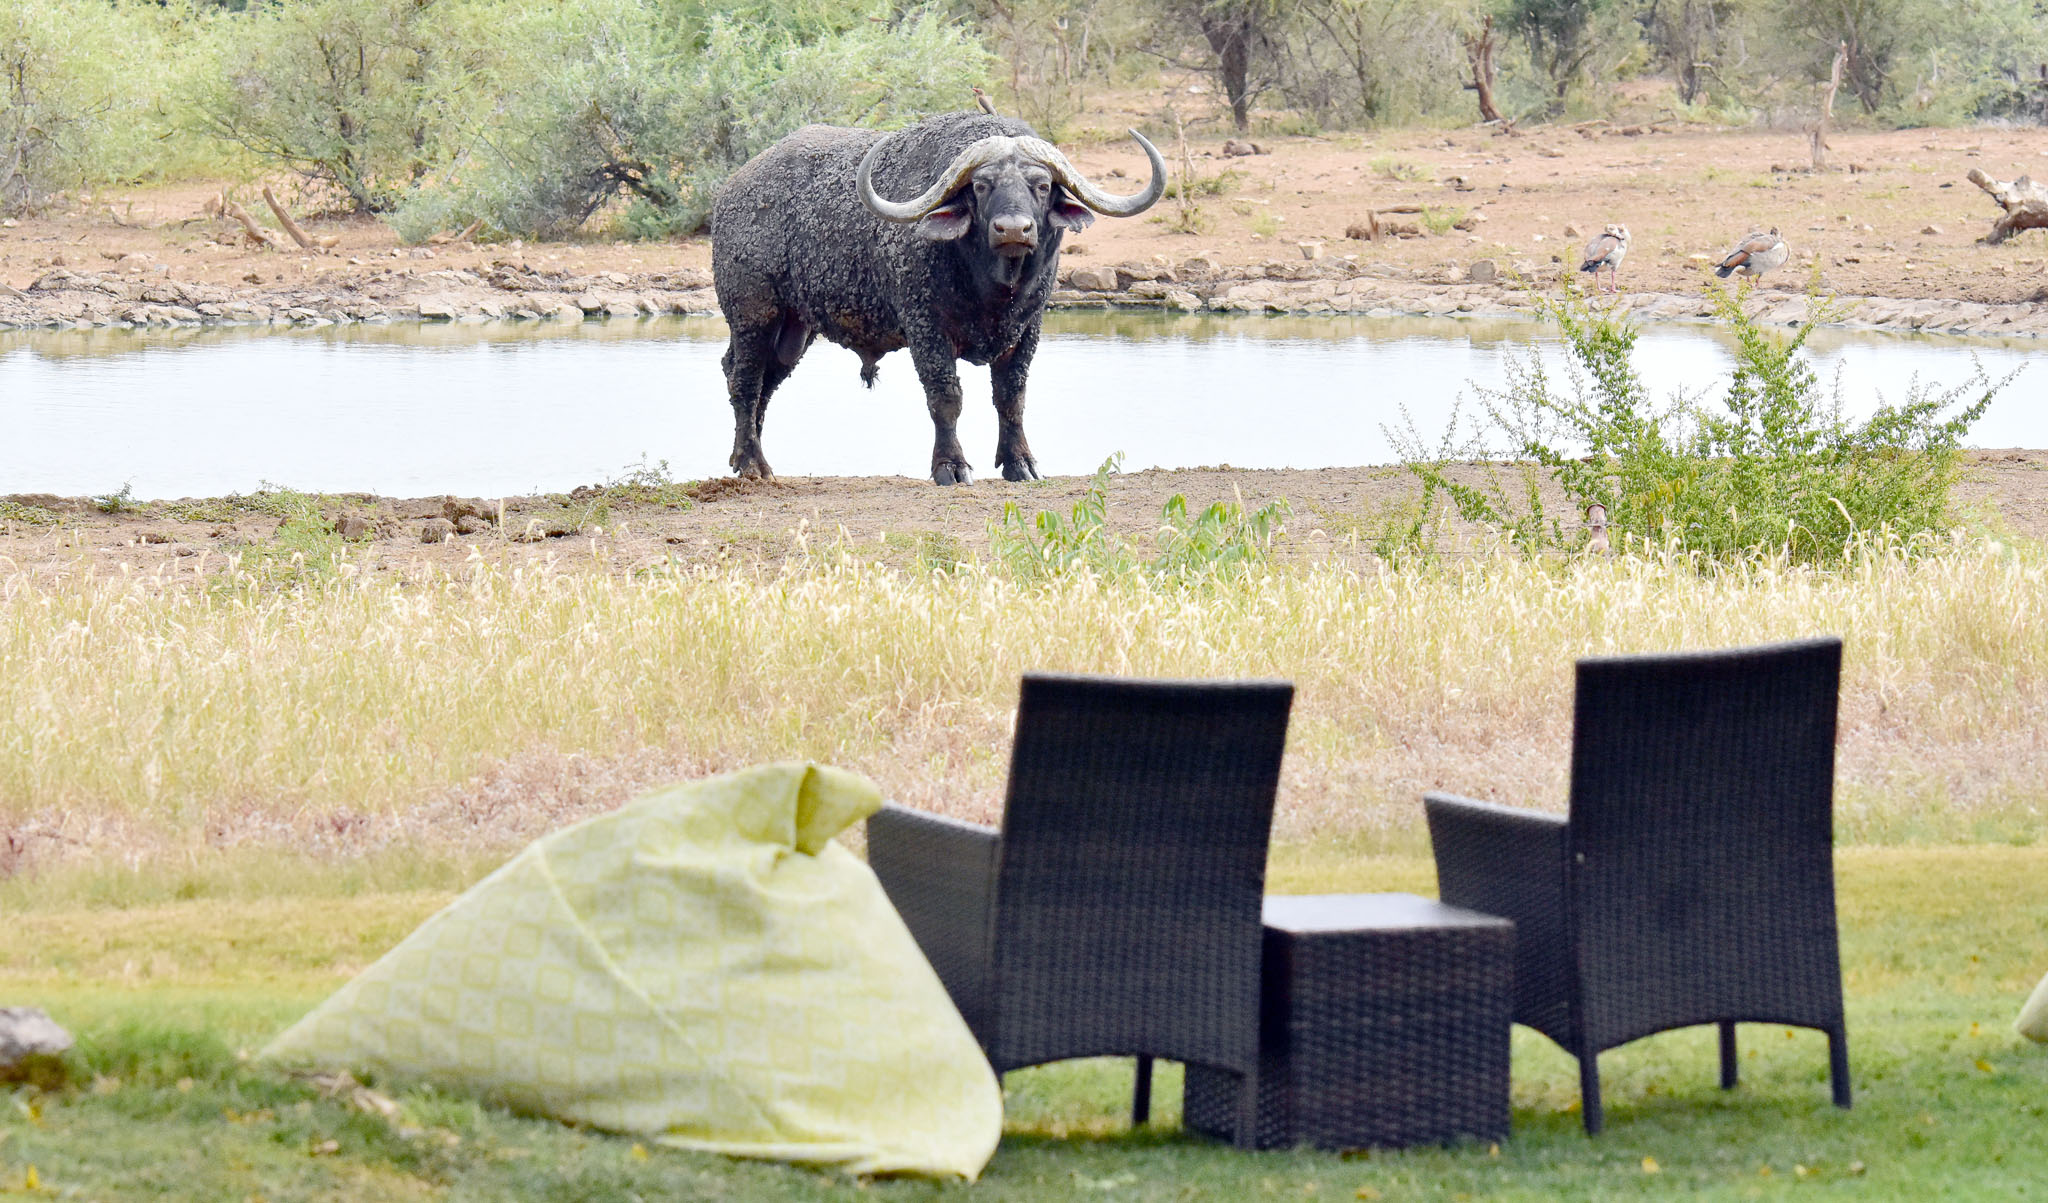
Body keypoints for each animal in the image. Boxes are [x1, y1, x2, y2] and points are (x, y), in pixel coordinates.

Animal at [710, 111, 1166, 484]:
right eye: (981, 186)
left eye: (1040, 185)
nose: (1013, 229)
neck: (991, 288)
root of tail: (732, 191)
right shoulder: (926, 327)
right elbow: (946, 398)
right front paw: (951, 466)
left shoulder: (1028, 329)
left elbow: (1011, 397)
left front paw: (1020, 463)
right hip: (753, 315)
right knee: (744, 379)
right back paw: (752, 463)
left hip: (794, 331)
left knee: (763, 381)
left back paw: (748, 457)